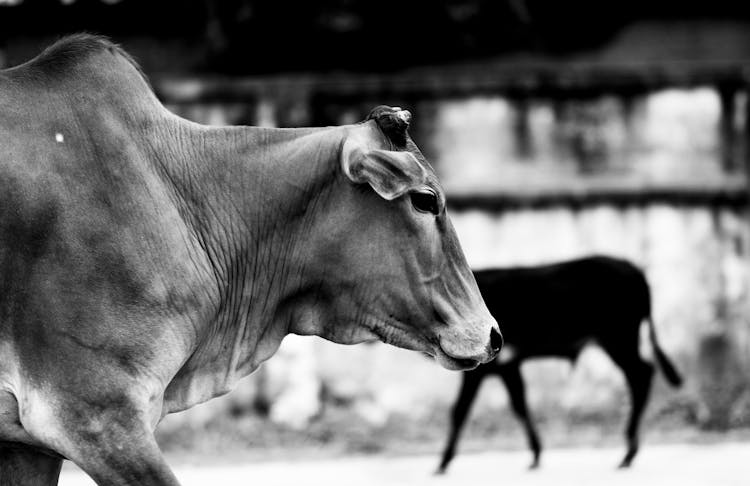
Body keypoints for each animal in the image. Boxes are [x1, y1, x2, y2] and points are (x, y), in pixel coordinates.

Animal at [438, 256, 684, 472]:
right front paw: (536, 454)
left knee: (641, 375)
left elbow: (460, 410)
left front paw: (443, 462)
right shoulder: (507, 366)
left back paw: (628, 452)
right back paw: (629, 452)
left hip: (619, 339)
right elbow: (519, 404)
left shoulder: (483, 369)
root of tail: (634, 269)